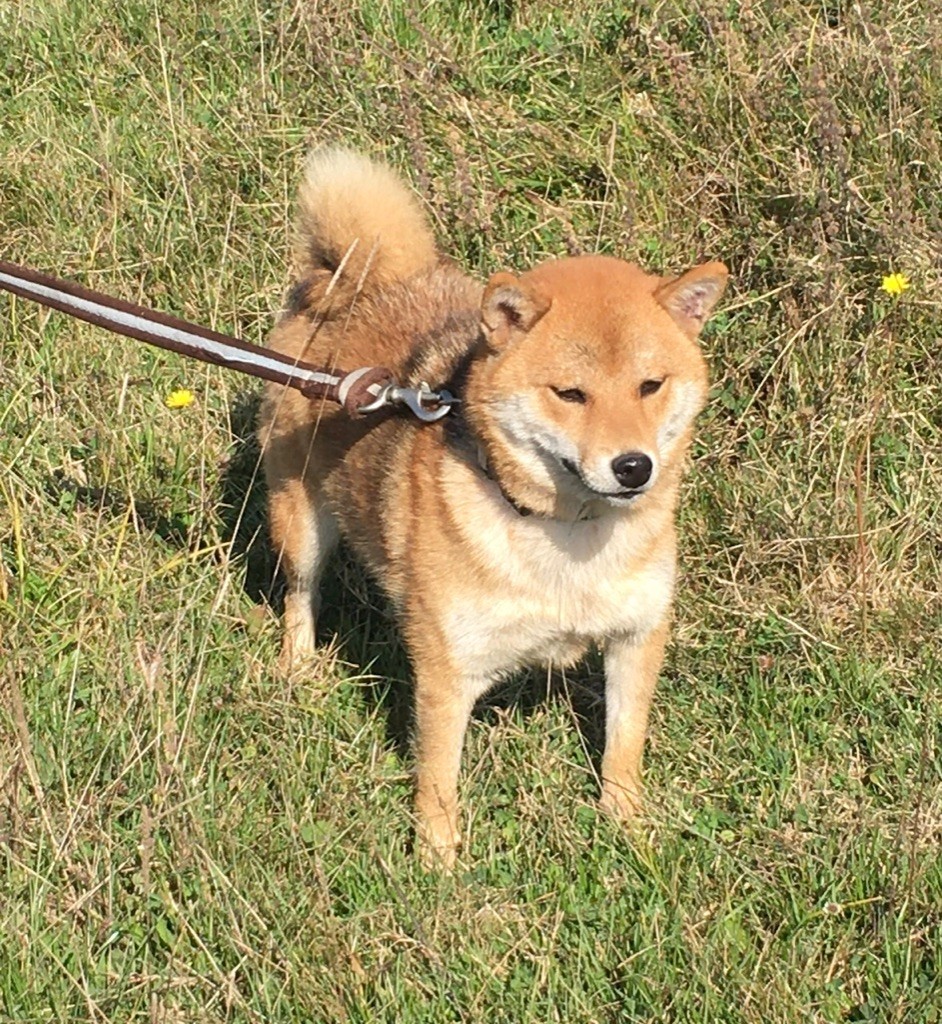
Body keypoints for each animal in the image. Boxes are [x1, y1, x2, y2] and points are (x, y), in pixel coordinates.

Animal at [259, 148, 729, 868]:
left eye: (650, 386)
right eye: (570, 394)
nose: (633, 466)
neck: (564, 533)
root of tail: (357, 279)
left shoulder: (636, 638)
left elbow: (624, 746)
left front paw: (626, 828)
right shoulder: (448, 670)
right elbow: (438, 780)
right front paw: (437, 864)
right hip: (302, 523)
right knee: (301, 596)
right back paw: (299, 669)